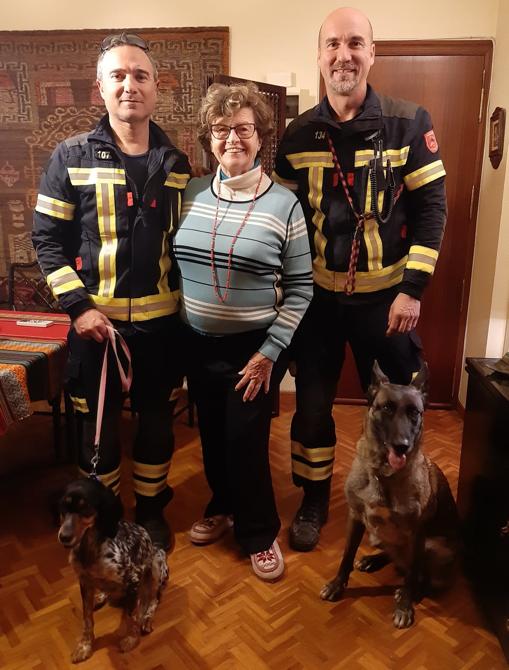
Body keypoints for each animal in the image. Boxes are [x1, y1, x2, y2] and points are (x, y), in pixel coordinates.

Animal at [320, 362, 458, 632]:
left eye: (414, 412)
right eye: (387, 408)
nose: (402, 446)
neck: (382, 474)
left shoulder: (417, 532)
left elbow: (413, 573)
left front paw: (405, 605)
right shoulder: (355, 517)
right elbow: (346, 556)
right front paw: (337, 584)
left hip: (432, 546)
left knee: (421, 576)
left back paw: (411, 591)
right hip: (380, 536)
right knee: (393, 554)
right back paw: (373, 560)